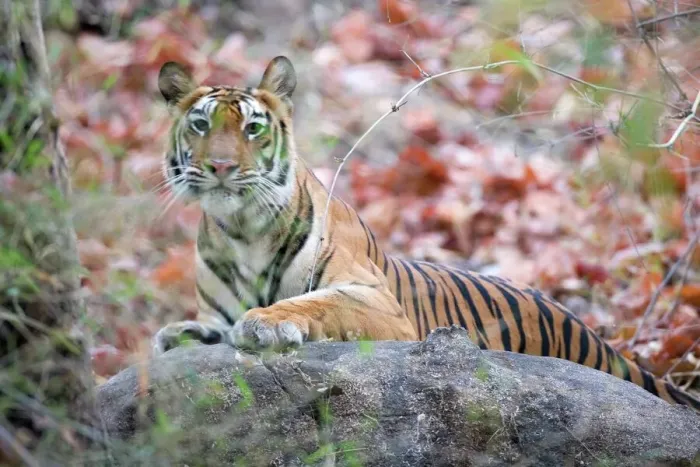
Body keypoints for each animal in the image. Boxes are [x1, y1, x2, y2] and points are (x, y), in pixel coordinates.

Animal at [152, 55, 700, 412]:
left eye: (253, 129)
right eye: (200, 126)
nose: (222, 167)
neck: (242, 230)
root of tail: (596, 337)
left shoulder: (378, 302)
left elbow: (318, 303)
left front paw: (266, 321)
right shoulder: (217, 308)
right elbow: (203, 329)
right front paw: (177, 335)